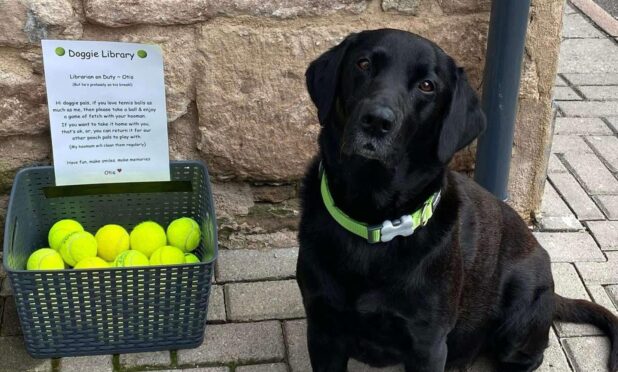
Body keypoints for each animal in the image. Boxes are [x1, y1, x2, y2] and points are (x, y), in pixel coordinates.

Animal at [294, 29, 616, 372]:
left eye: (427, 85)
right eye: (363, 63)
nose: (377, 121)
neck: (373, 220)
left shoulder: (427, 345)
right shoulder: (323, 332)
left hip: (520, 313)